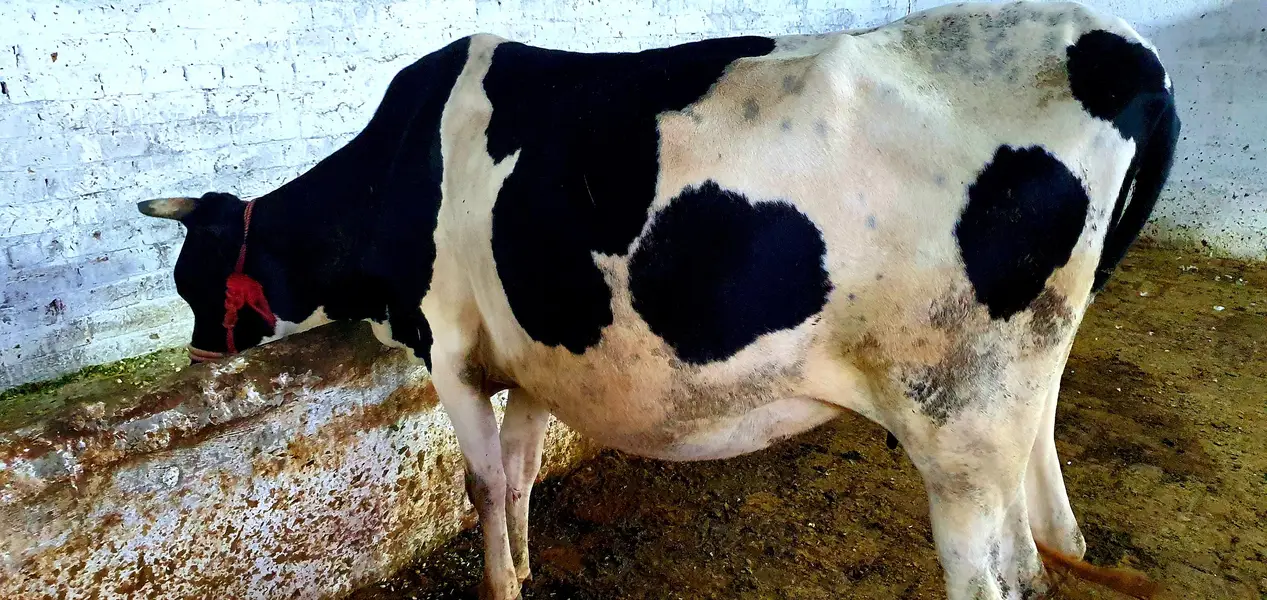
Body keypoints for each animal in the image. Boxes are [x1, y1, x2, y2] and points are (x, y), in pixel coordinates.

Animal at [137, 2, 1178, 598]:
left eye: (191, 277)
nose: (196, 359)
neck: (399, 171)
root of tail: (1117, 43)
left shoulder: (452, 350)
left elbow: (482, 484)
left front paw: (500, 583)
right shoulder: (534, 357)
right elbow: (521, 474)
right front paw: (527, 565)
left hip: (955, 424)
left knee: (1001, 573)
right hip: (1019, 395)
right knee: (1048, 523)